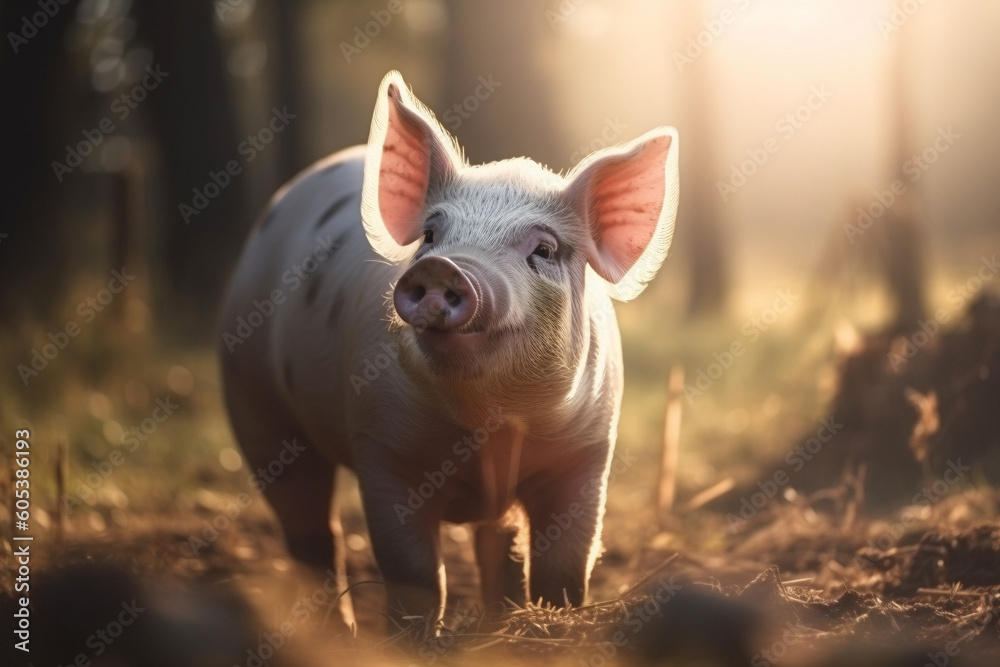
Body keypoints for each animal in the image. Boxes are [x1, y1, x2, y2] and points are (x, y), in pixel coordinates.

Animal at [219, 71, 678, 631]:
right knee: (312, 532)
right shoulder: (384, 450)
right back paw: (340, 631)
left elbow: (565, 569)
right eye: (431, 235)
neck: (491, 425)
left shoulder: (586, 453)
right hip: (255, 406)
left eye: (544, 250)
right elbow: (416, 575)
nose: (445, 268)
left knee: (494, 541)